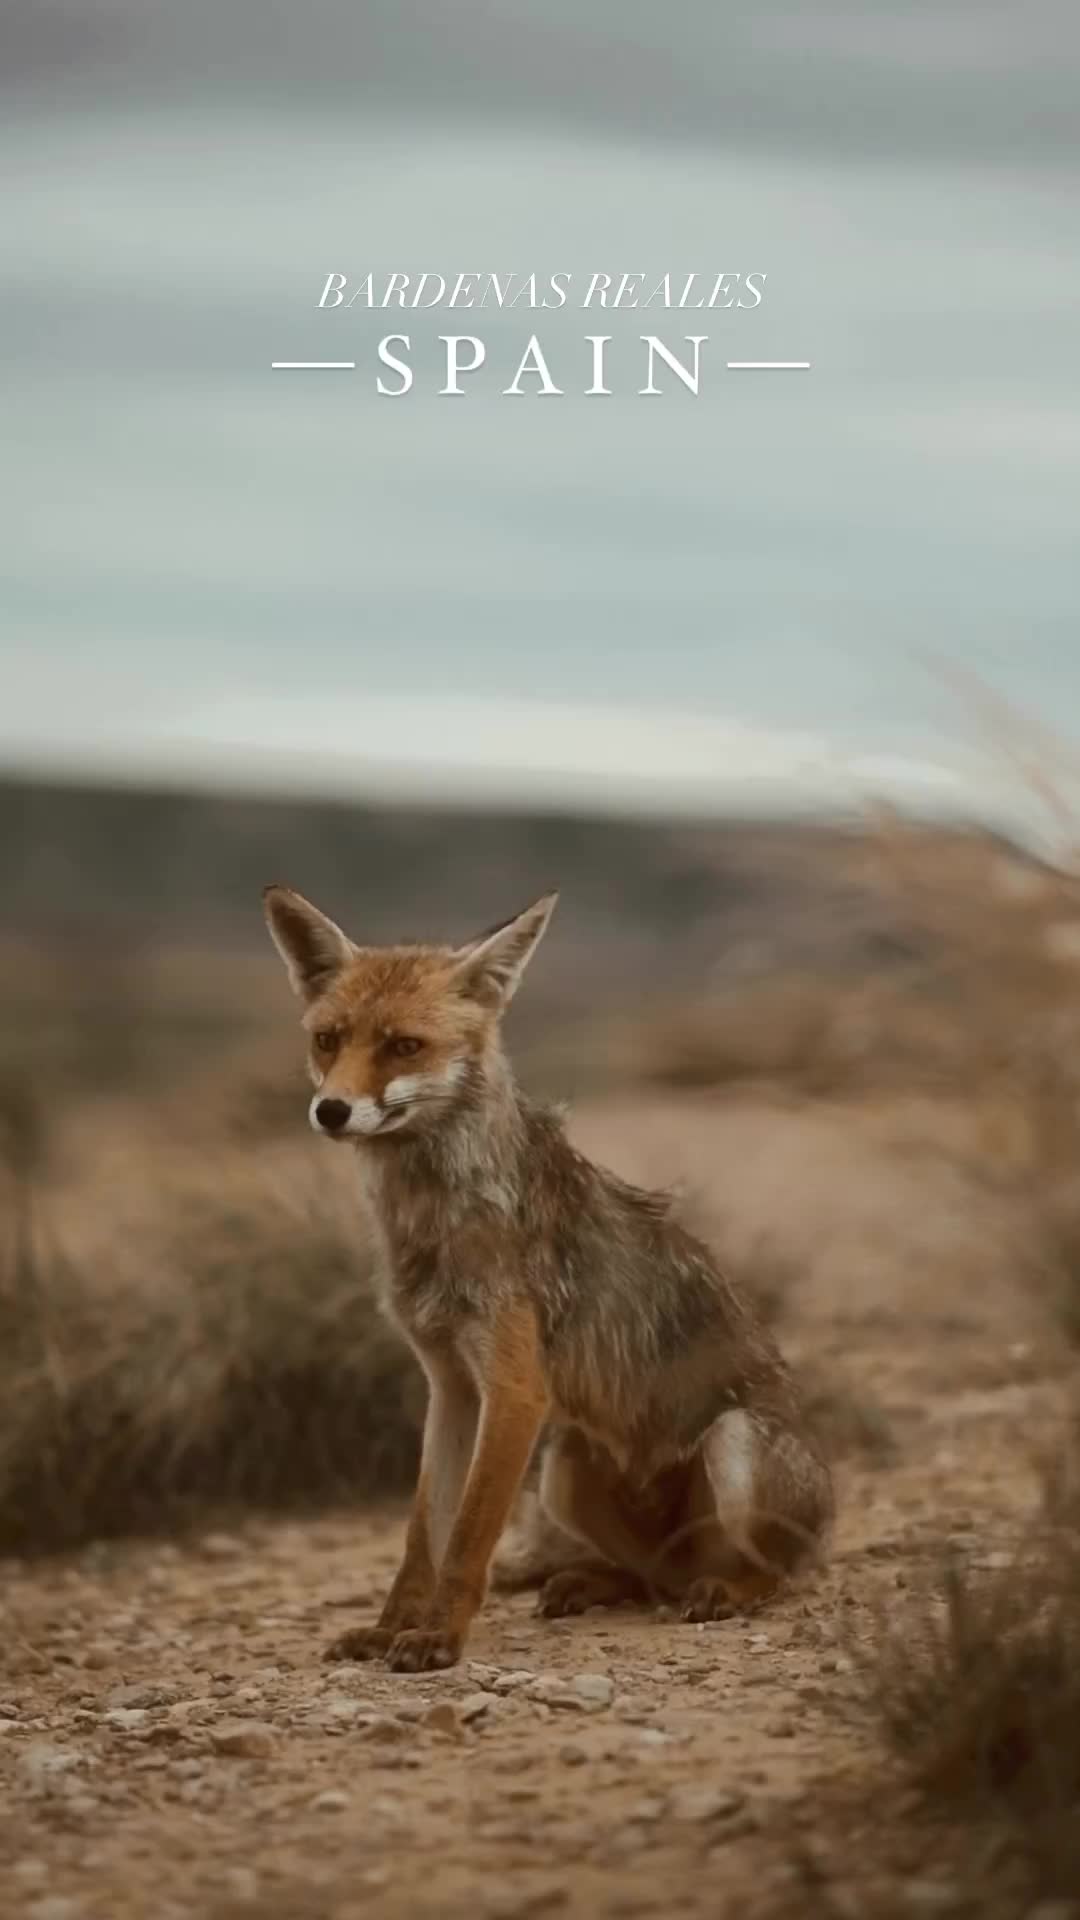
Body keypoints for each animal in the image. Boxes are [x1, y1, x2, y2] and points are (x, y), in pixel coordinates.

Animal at [263, 883, 834, 1666]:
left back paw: (725, 1592)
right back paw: (592, 1583)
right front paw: (389, 1628)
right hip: (565, 1469)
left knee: (763, 1573)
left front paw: (437, 1637)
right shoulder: (448, 1383)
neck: (433, 1220)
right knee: (651, 1576)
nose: (332, 1110)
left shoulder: (514, 1389)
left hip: (732, 1445)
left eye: (404, 1046)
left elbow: (467, 1538)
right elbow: (421, 1537)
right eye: (329, 1040)